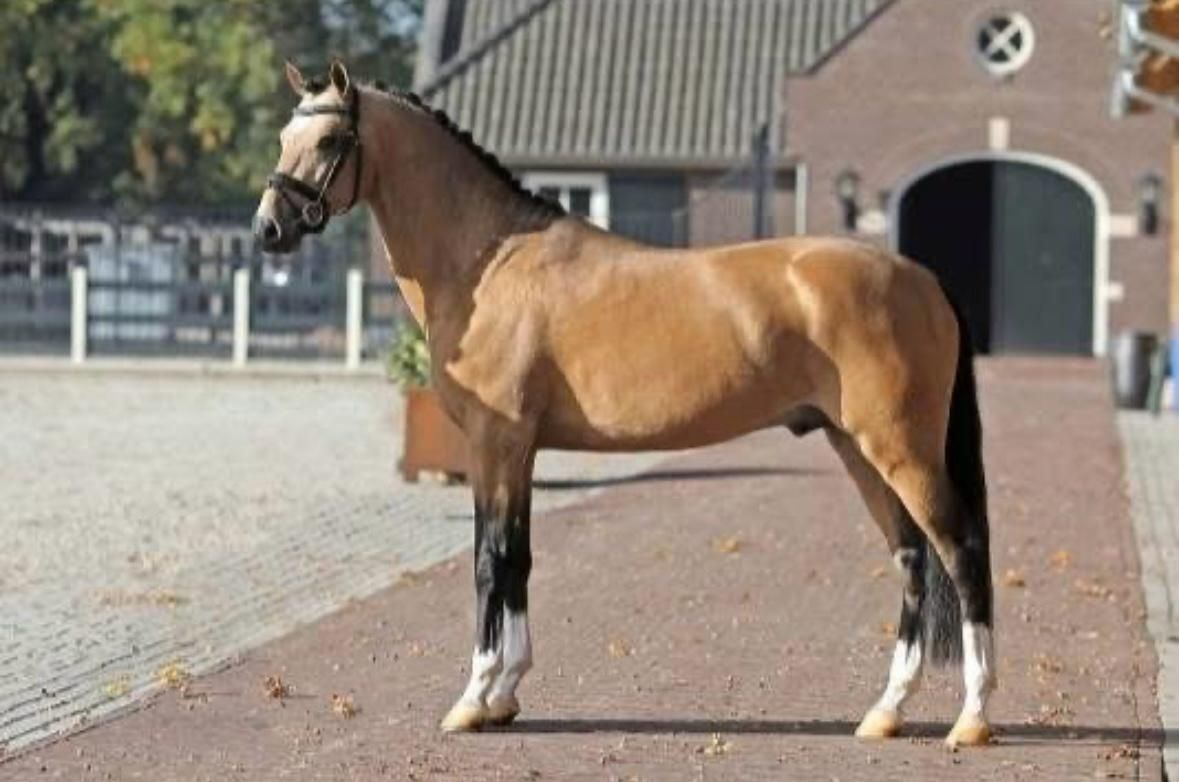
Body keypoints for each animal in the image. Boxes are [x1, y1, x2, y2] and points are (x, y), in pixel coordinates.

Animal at [255, 61, 996, 747]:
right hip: (858, 449)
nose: (269, 229)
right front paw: (505, 694)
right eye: (285, 136)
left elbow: (490, 560)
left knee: (959, 550)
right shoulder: (520, 451)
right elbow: (518, 558)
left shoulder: (495, 443)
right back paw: (886, 711)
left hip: (899, 451)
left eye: (329, 139)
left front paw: (473, 697)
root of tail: (920, 277)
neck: (489, 261)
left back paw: (972, 718)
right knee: (911, 557)